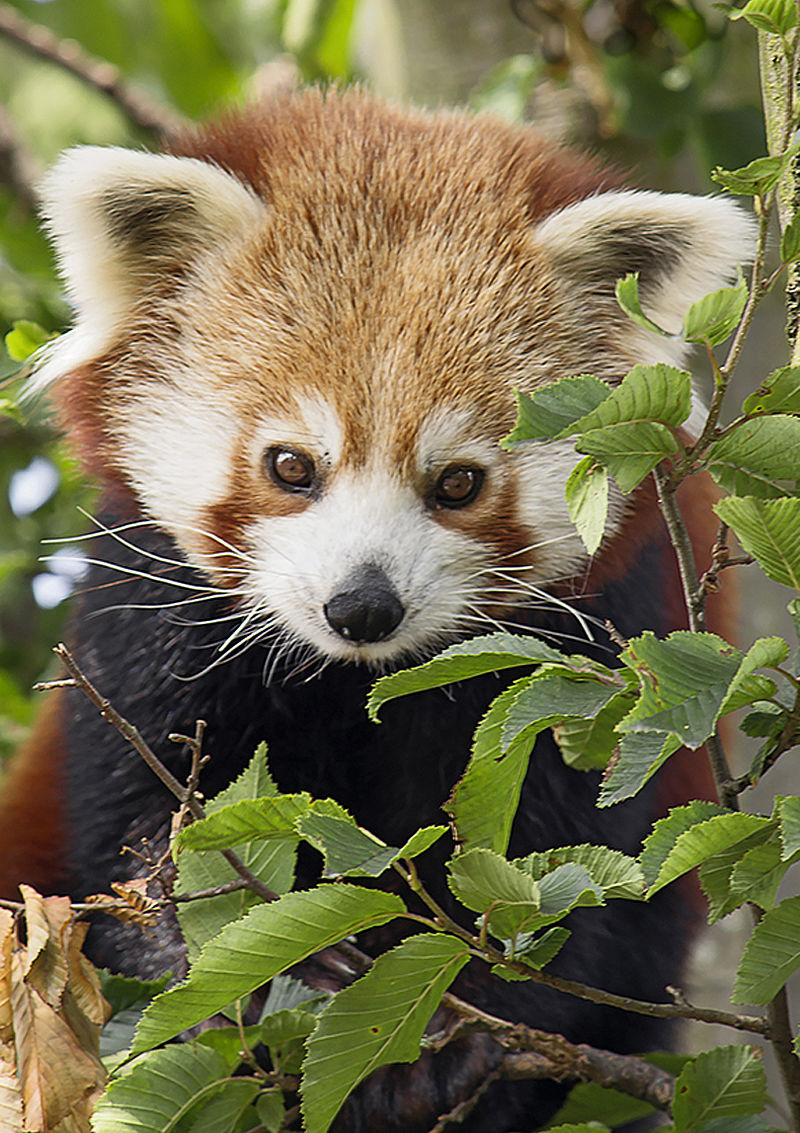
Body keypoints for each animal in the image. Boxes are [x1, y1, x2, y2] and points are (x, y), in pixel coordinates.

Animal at [1, 90, 747, 1133]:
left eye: (459, 482)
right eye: (290, 466)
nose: (361, 606)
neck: (359, 682)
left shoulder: (601, 654)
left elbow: (580, 873)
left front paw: (460, 1034)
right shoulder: (146, 618)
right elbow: (144, 841)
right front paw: (258, 972)